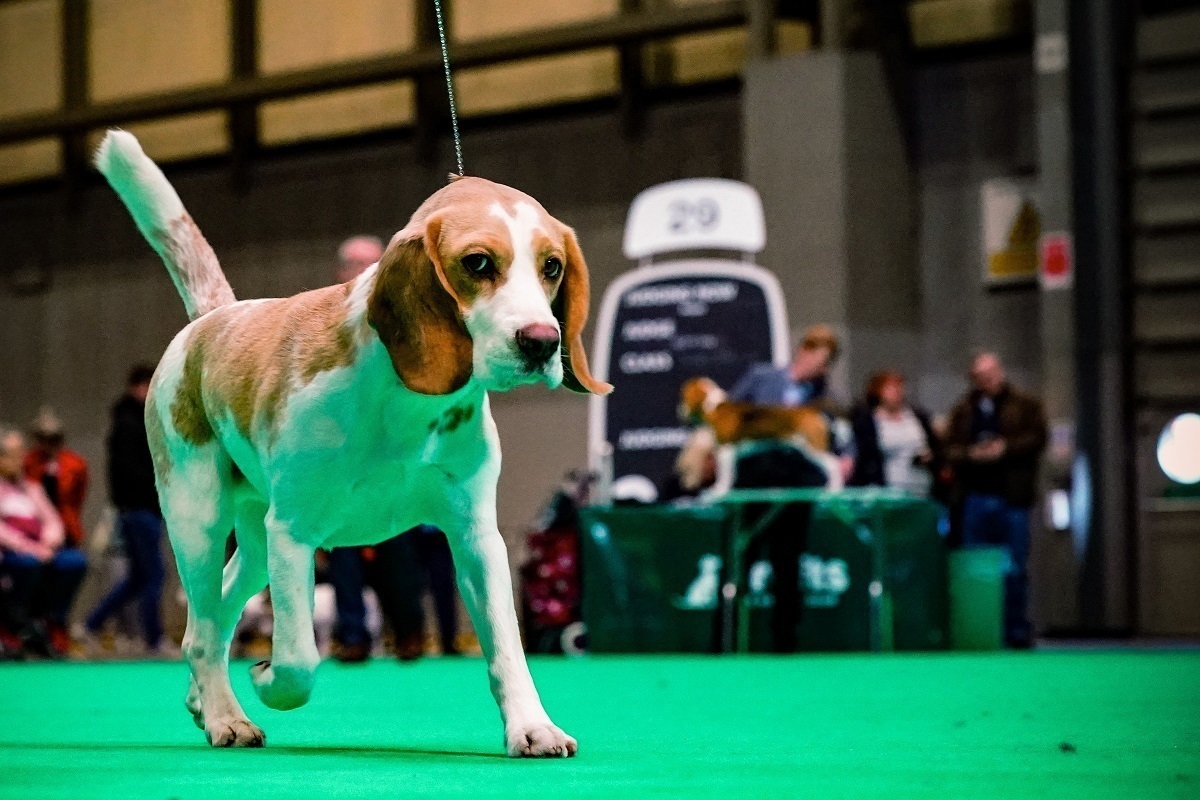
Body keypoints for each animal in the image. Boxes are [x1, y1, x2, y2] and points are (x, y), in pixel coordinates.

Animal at [96, 130, 609, 758]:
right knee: (203, 627)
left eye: (552, 267)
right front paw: (267, 678)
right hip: (199, 520)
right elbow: (299, 661)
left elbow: (507, 648)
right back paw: (225, 716)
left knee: (211, 620)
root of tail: (213, 319)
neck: (405, 400)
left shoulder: (476, 538)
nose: (541, 341)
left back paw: (204, 699)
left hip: (256, 544)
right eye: (478, 263)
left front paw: (532, 726)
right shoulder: (294, 534)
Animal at [681, 376, 840, 494]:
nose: (680, 410)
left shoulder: (726, 451)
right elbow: (729, 474)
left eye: (683, 396)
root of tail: (810, 409)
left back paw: (833, 489)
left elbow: (724, 475)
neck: (713, 407)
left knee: (834, 465)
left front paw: (719, 491)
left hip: (813, 447)